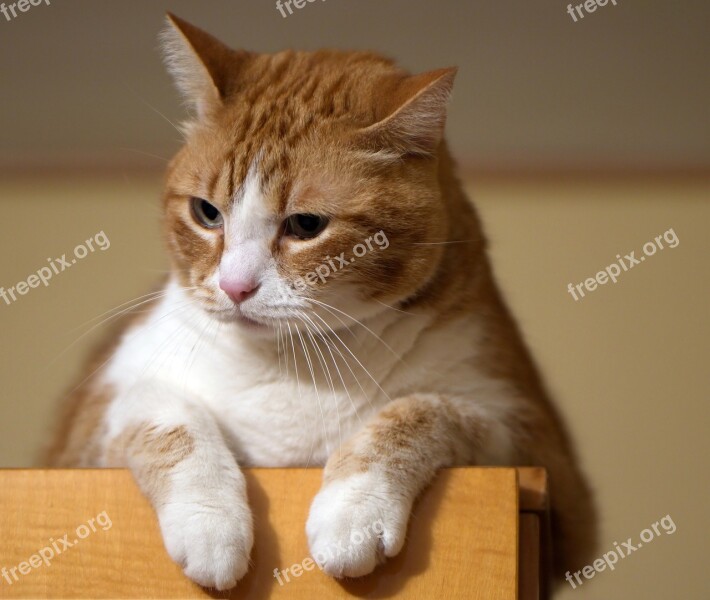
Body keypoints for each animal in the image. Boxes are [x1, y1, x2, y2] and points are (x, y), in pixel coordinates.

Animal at [47, 12, 596, 592]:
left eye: (306, 225)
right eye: (206, 213)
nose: (235, 287)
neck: (290, 366)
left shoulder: (530, 445)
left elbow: (421, 409)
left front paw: (354, 510)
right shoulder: (93, 418)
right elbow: (168, 415)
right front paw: (209, 523)